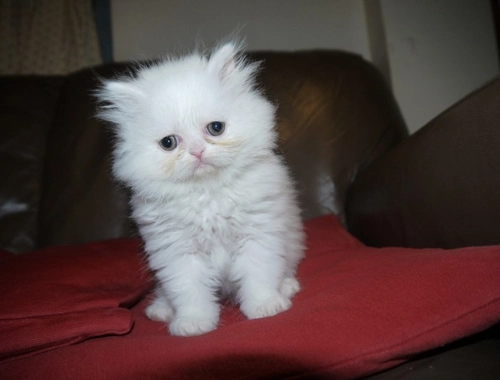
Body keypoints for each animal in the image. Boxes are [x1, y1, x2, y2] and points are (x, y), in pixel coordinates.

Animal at [95, 43, 302, 336]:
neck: (207, 194)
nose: (197, 151)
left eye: (216, 128)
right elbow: (189, 291)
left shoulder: (258, 234)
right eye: (168, 143)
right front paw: (193, 324)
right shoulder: (176, 252)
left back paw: (286, 287)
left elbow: (259, 274)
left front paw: (265, 307)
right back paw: (162, 308)